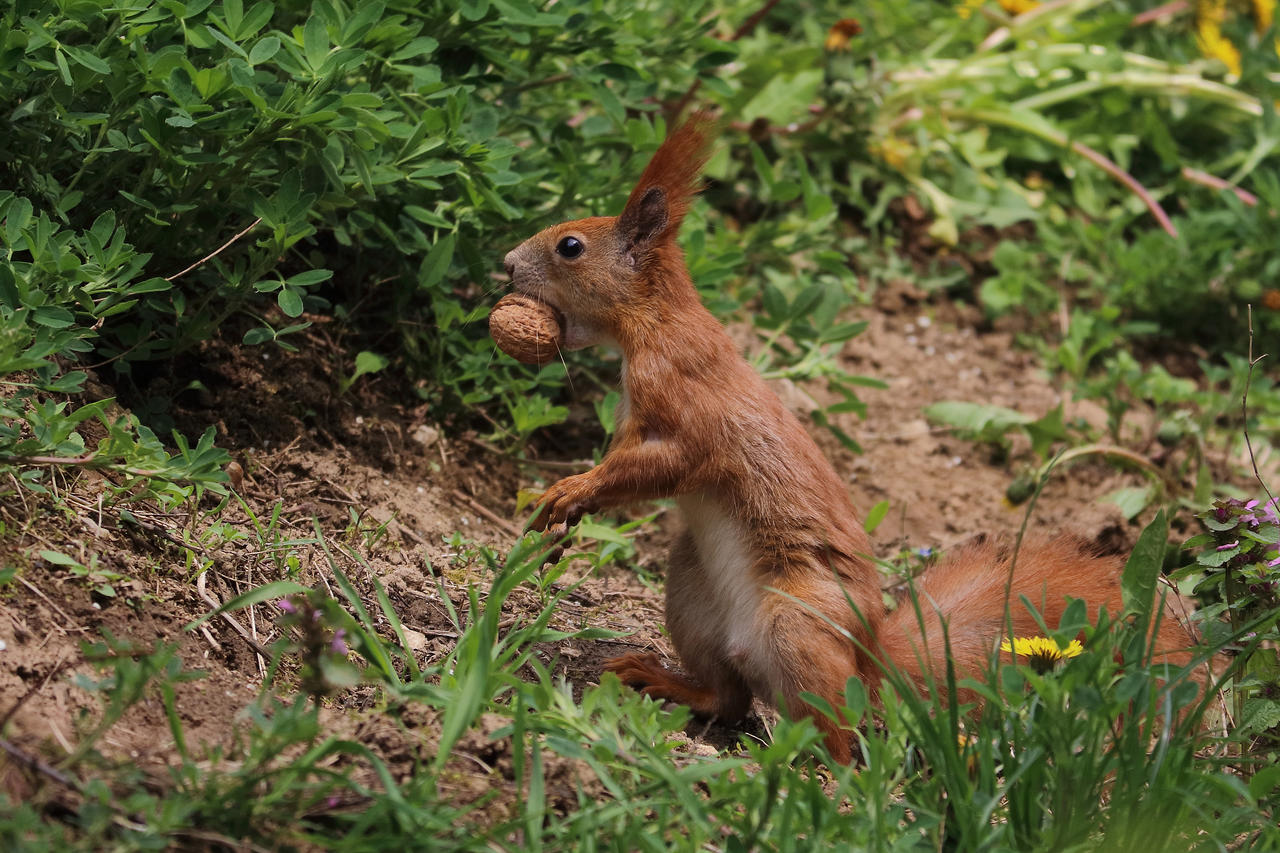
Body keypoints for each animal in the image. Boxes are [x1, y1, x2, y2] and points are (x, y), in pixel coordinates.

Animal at [499, 114, 1198, 763]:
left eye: (569, 246)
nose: (505, 265)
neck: (651, 324)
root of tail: (872, 665)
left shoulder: (686, 407)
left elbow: (660, 466)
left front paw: (571, 491)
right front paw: (567, 512)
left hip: (799, 626)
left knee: (837, 732)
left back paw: (816, 774)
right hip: (691, 590)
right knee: (727, 697)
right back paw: (662, 680)